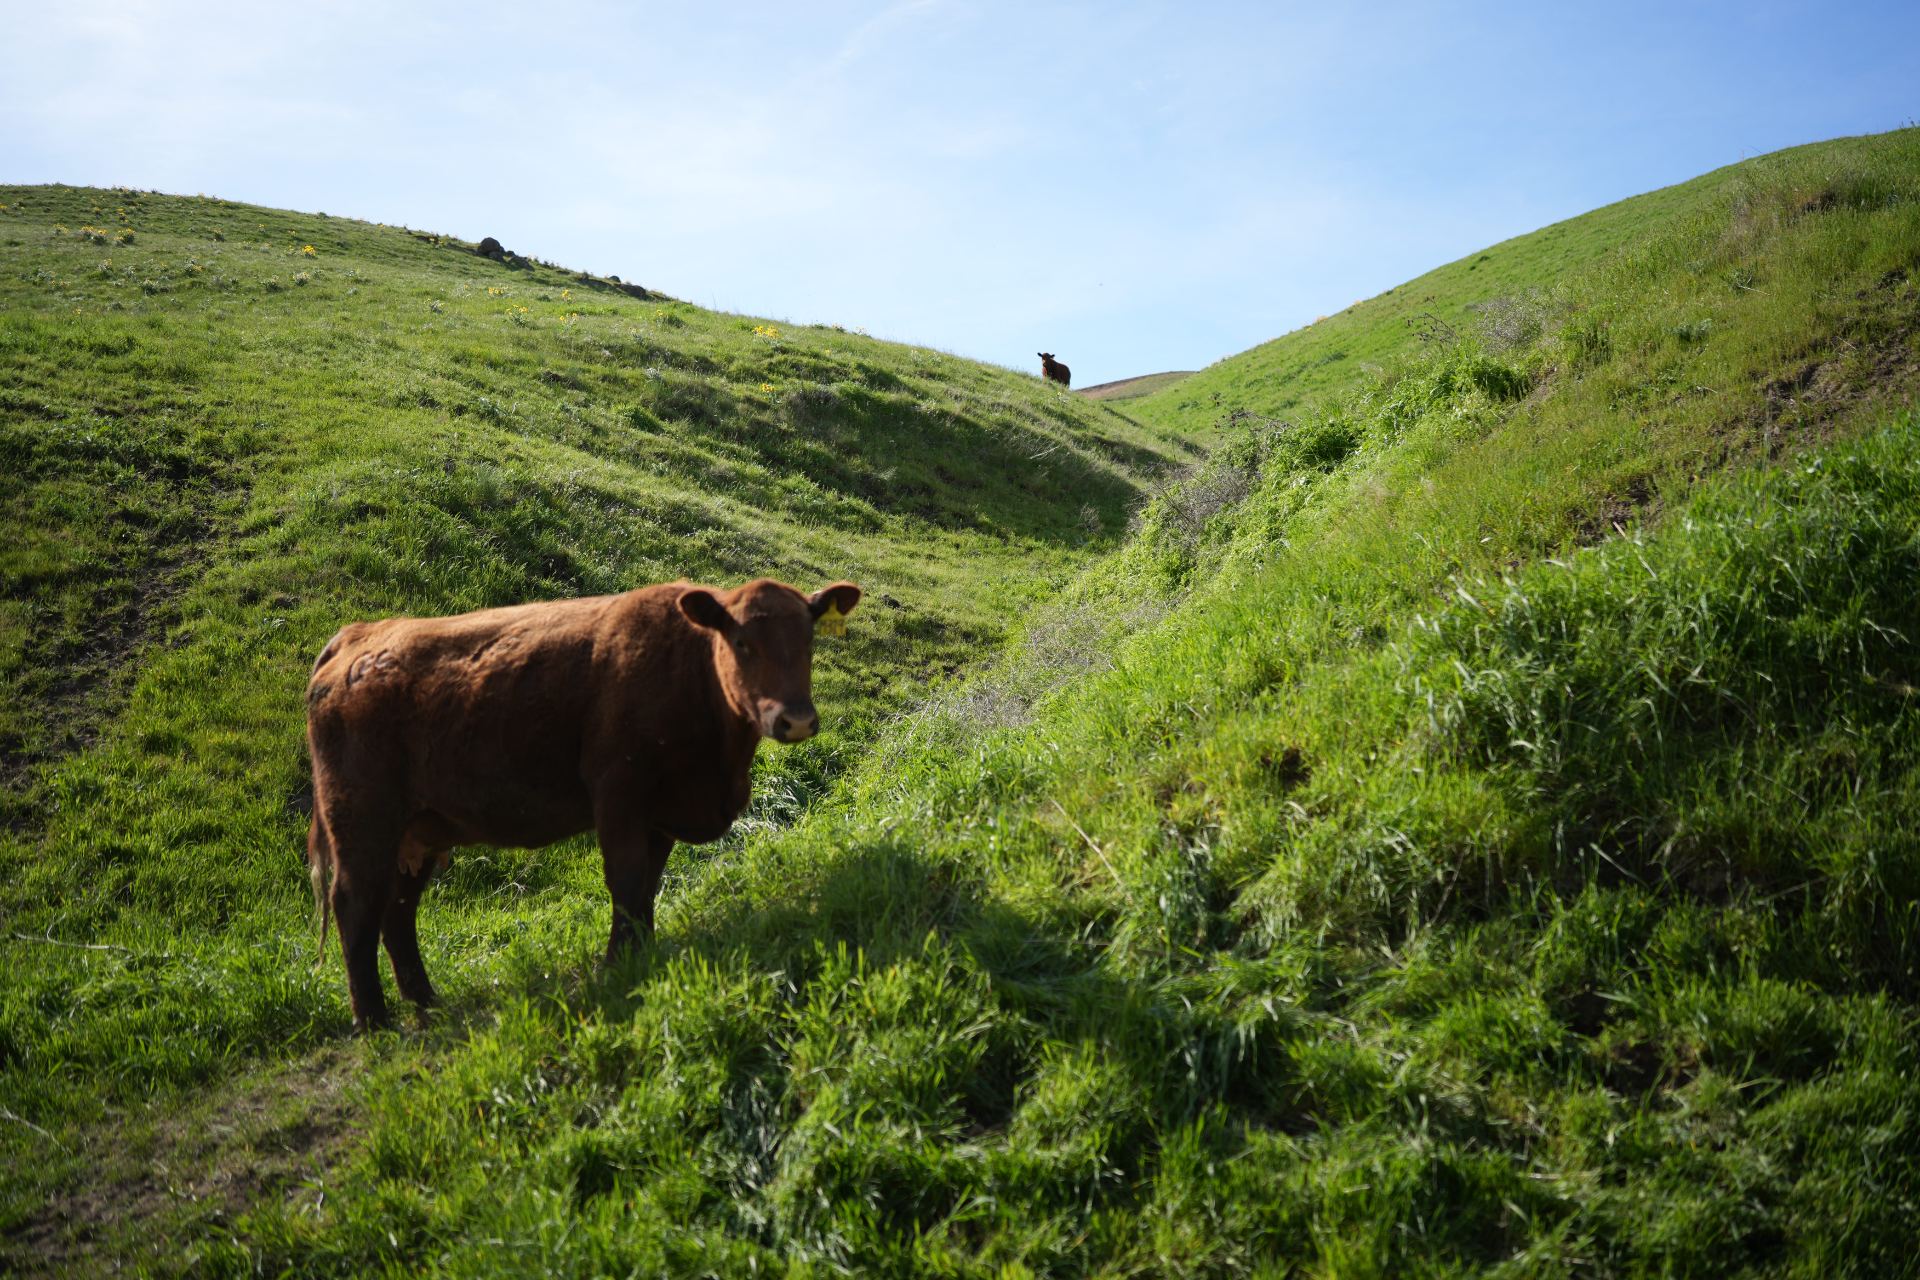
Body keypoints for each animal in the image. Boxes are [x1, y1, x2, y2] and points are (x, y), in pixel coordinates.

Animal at [305, 576, 861, 1031]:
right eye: (742, 642)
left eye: (809, 640)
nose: (796, 719)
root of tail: (358, 636)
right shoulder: (619, 796)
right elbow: (627, 883)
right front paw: (617, 966)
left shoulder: (660, 815)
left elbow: (646, 891)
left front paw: (642, 956)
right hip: (363, 820)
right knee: (357, 906)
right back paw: (373, 1020)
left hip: (416, 831)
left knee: (397, 913)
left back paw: (425, 1002)